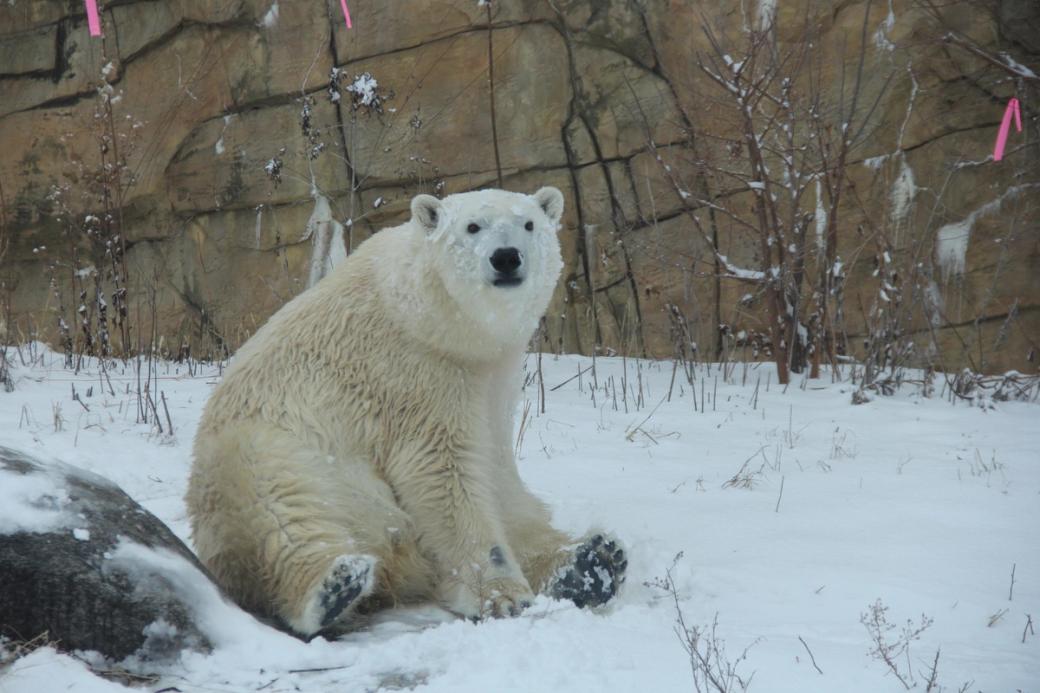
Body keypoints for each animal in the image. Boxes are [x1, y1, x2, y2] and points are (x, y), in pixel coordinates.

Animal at [186, 187, 627, 637]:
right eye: (473, 227)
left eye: (528, 224)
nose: (506, 257)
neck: (427, 314)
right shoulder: (414, 373)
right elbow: (442, 473)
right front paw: (503, 595)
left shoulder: (492, 380)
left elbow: (496, 473)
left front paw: (576, 562)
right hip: (259, 450)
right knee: (281, 506)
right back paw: (332, 586)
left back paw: (594, 561)